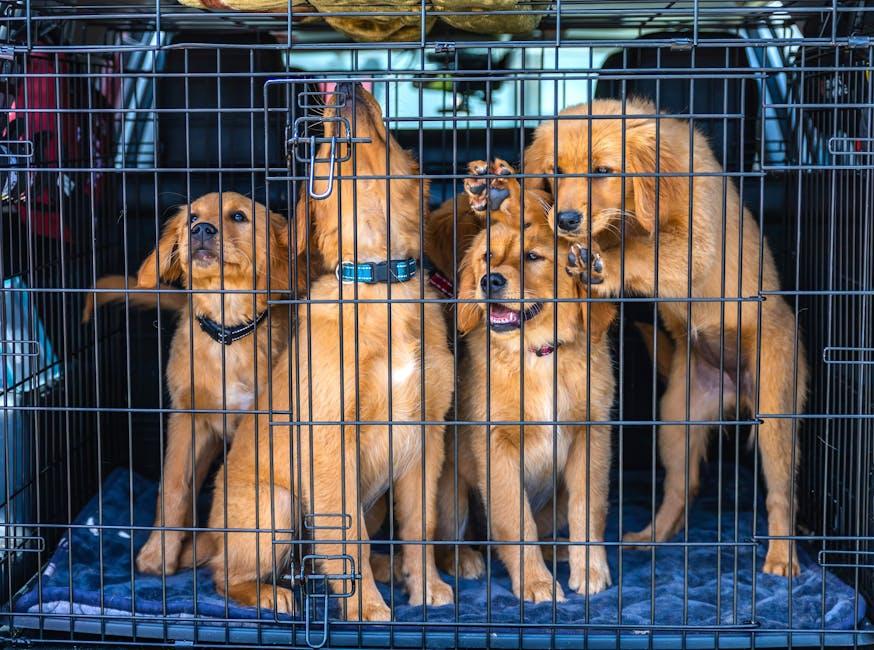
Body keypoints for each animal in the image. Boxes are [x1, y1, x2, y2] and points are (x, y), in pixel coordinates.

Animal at [91, 191, 290, 572]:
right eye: (192, 217)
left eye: (239, 217)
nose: (201, 230)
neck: (227, 333)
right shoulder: (187, 419)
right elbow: (173, 489)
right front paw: (158, 554)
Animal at [201, 82, 454, 616]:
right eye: (320, 152)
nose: (346, 85)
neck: (379, 281)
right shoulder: (331, 438)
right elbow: (347, 536)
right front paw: (366, 609)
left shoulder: (426, 438)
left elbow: (419, 526)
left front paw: (427, 587)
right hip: (276, 506)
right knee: (223, 575)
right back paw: (272, 594)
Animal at [436, 215, 612, 600]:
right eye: (487, 256)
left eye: (533, 256)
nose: (490, 281)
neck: (538, 354)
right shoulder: (496, 445)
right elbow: (516, 520)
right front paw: (534, 581)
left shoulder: (591, 435)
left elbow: (587, 509)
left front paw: (590, 568)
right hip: (449, 489)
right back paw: (464, 559)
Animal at [520, 96, 808, 572]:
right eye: (556, 171)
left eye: (602, 171)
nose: (565, 220)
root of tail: (735, 387)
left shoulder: (695, 245)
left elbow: (640, 251)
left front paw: (601, 261)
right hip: (676, 418)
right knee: (682, 486)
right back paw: (652, 536)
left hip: (775, 411)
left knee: (782, 492)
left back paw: (782, 557)